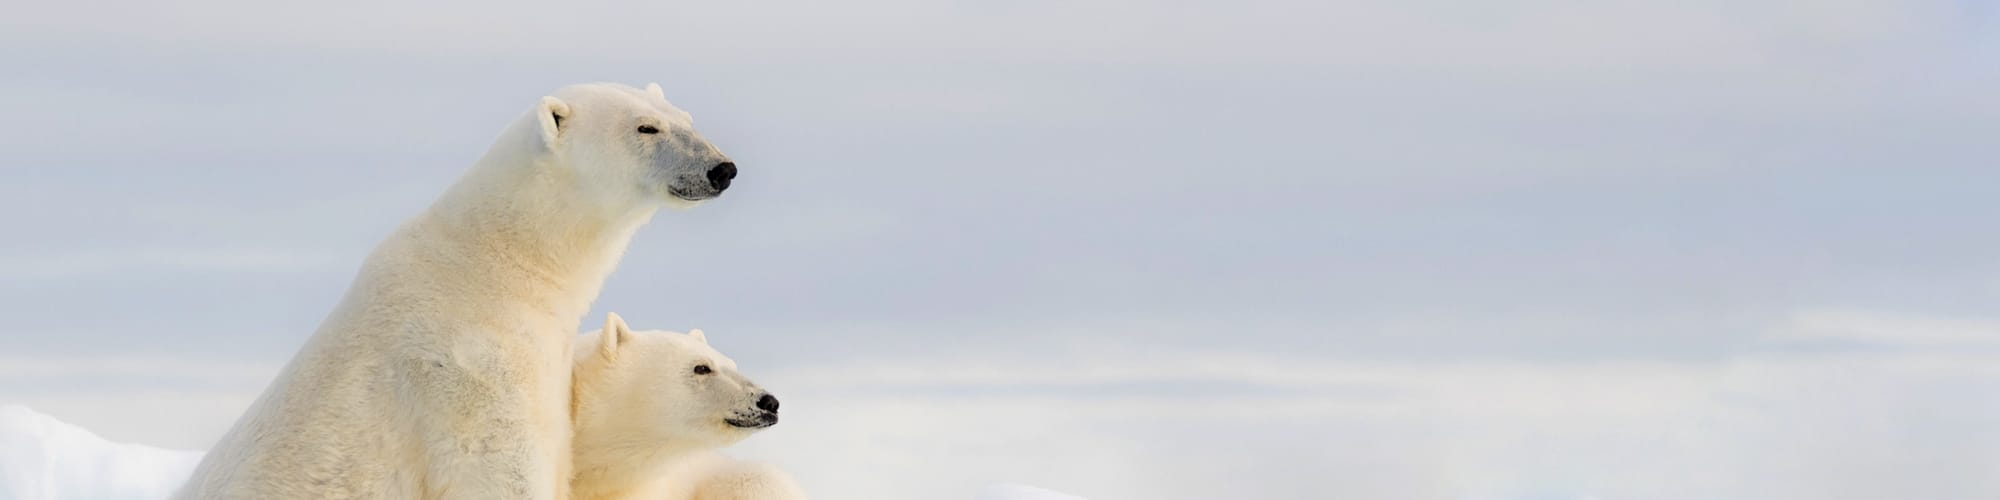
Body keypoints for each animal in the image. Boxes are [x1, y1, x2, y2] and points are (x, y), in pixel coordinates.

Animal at [178, 83, 744, 500]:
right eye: (645, 126)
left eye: (686, 116)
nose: (722, 168)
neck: (493, 266)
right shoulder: (471, 373)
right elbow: (503, 471)